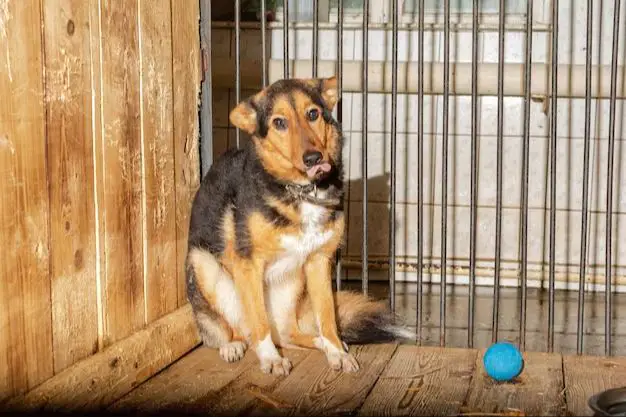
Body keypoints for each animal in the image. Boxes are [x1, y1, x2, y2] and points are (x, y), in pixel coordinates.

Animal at [183, 76, 412, 376]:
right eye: (279, 122)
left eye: (312, 114)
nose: (313, 158)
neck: (302, 192)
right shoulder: (248, 265)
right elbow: (259, 323)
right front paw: (271, 359)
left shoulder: (318, 262)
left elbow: (327, 317)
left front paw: (336, 351)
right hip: (205, 266)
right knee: (237, 331)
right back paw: (232, 345)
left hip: (294, 283)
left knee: (287, 334)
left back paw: (322, 343)